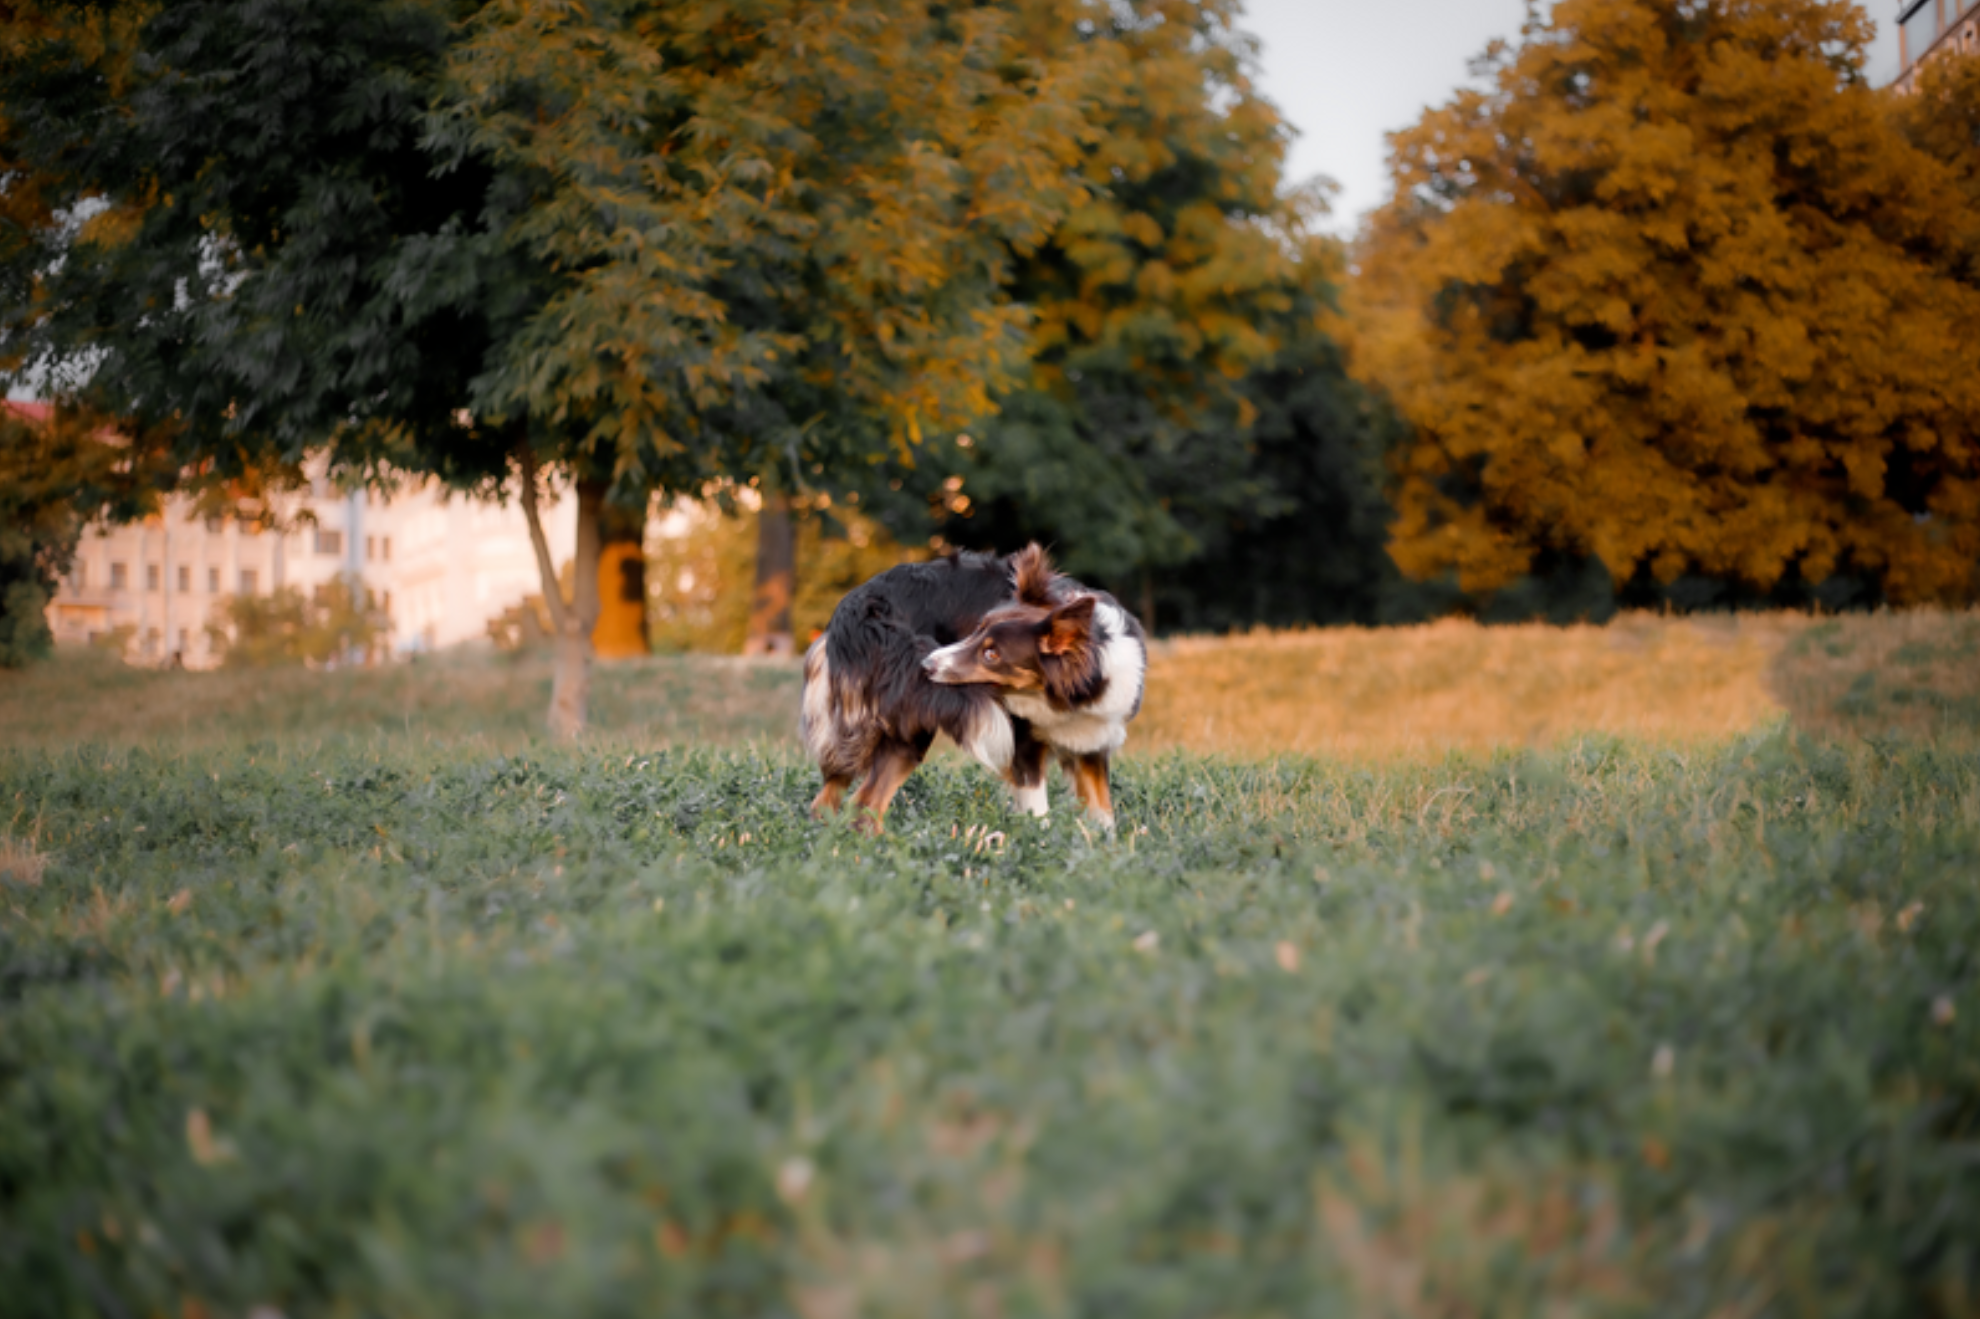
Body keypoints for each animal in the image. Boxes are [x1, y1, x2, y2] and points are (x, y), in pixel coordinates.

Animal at [799, 542, 1148, 831]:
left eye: (991, 654)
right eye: (975, 629)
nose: (926, 665)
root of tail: (859, 606)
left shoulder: (1092, 744)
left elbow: (1104, 815)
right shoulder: (1024, 746)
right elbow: (1039, 813)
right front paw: (1041, 846)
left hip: (854, 729)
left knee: (830, 800)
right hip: (908, 725)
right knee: (865, 803)